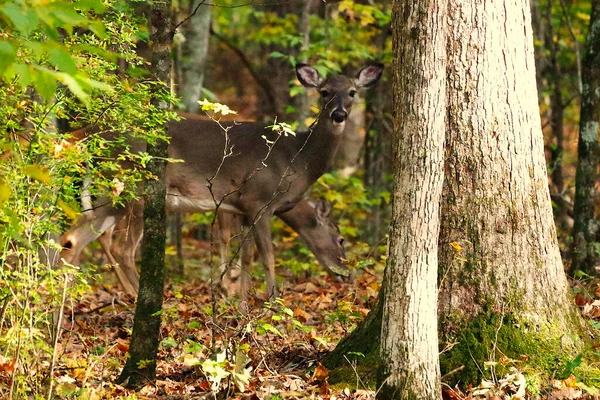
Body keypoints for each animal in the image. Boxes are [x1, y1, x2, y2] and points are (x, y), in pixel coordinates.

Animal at [58, 63, 382, 304]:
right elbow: (268, 257)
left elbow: (247, 257)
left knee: (74, 238)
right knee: (121, 248)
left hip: (111, 193)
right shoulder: (259, 200)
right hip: (138, 186)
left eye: (352, 92)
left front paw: (241, 305)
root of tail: (96, 138)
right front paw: (272, 304)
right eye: (324, 92)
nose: (339, 114)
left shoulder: (241, 208)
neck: (297, 159)